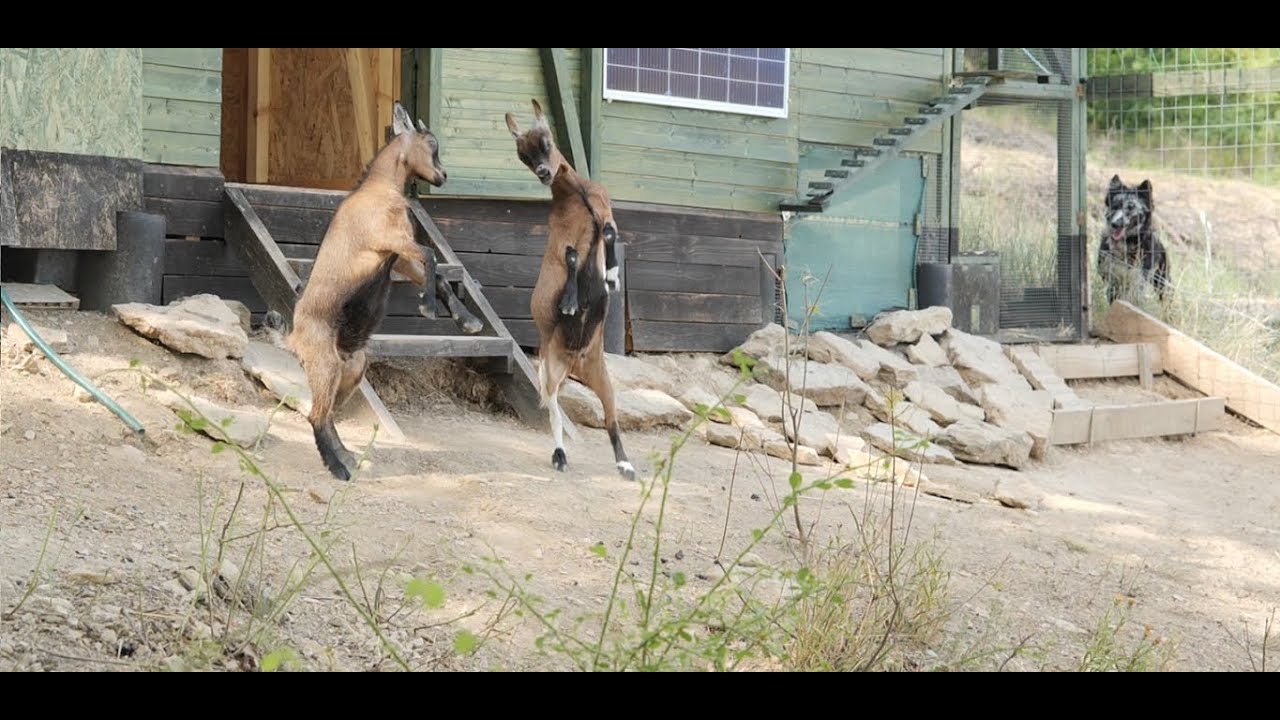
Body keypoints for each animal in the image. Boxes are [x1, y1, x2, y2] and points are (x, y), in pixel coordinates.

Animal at [265, 101, 447, 481]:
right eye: (431, 144)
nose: (443, 176)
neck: (378, 189)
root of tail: (293, 339)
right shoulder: (388, 240)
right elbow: (430, 255)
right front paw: (428, 308)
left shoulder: (397, 257)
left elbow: (432, 271)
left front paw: (464, 318)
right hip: (325, 365)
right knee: (317, 415)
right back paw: (340, 469)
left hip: (351, 368)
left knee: (327, 413)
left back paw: (348, 459)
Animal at [505, 99, 635, 482]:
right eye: (522, 154)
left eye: (546, 141)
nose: (544, 172)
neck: (577, 193)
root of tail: (576, 364)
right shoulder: (564, 238)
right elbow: (574, 257)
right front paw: (569, 302)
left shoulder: (605, 214)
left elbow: (609, 233)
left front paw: (612, 277)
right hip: (549, 368)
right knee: (553, 411)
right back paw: (560, 455)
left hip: (600, 374)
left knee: (610, 418)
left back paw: (626, 465)